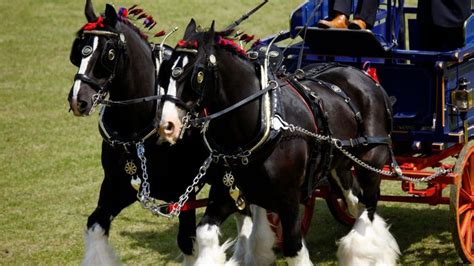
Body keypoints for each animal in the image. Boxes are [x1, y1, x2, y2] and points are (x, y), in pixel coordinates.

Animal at [66, 1, 258, 264]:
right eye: (78, 51)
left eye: (109, 54)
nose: (78, 100)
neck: (138, 130)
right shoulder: (118, 186)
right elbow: (95, 224)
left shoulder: (184, 194)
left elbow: (187, 241)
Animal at [158, 20, 400, 264]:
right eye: (164, 72)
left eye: (197, 74)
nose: (167, 125)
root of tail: (362, 74)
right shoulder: (227, 192)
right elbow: (205, 234)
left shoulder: (288, 200)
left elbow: (293, 247)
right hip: (338, 167)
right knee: (356, 200)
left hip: (371, 160)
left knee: (369, 205)